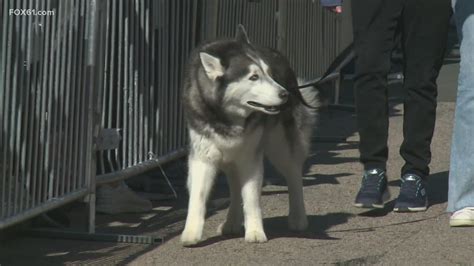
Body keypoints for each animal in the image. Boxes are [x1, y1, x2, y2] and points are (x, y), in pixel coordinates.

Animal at [181, 25, 318, 247]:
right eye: (253, 77)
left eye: (270, 74)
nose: (284, 94)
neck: (229, 119)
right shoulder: (203, 157)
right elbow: (198, 196)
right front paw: (191, 232)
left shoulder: (250, 157)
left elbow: (252, 197)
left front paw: (255, 231)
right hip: (231, 157)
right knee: (235, 185)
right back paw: (232, 222)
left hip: (281, 146)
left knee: (294, 174)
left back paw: (298, 218)